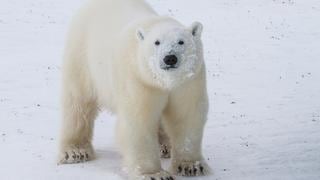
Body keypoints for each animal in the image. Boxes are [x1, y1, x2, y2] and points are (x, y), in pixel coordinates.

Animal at [58, 0, 211, 178]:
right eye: (156, 42)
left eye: (181, 41)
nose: (170, 58)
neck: (164, 81)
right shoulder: (138, 78)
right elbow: (139, 121)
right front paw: (154, 174)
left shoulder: (188, 81)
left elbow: (186, 116)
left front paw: (191, 166)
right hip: (81, 57)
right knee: (78, 105)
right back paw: (75, 151)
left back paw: (164, 146)